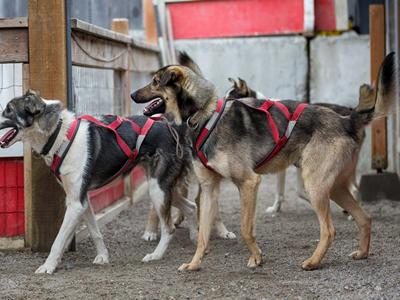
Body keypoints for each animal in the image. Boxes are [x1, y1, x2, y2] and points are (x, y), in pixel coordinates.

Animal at [132, 51, 396, 272]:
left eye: (155, 81)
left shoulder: (249, 183)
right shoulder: (209, 189)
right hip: (334, 187)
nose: (133, 95)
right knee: (365, 217)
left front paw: (256, 258)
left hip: (316, 186)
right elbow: (203, 235)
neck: (204, 115)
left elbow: (246, 229)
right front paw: (195, 264)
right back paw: (362, 253)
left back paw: (313, 261)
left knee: (329, 230)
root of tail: (346, 120)